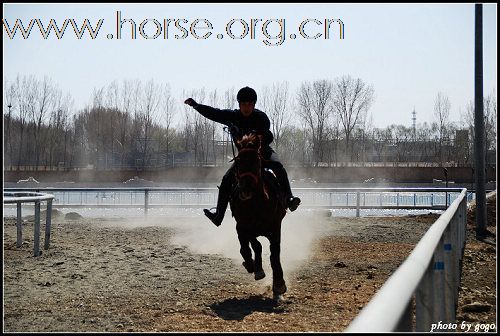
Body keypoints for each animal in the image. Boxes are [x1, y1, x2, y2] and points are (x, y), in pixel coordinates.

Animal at [228, 133, 288, 298]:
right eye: (238, 161)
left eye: (256, 160)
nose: (246, 189)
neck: (257, 205)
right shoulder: (245, 226)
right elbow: (256, 245)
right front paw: (258, 269)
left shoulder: (276, 227)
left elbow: (275, 253)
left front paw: (279, 284)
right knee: (244, 247)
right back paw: (250, 264)